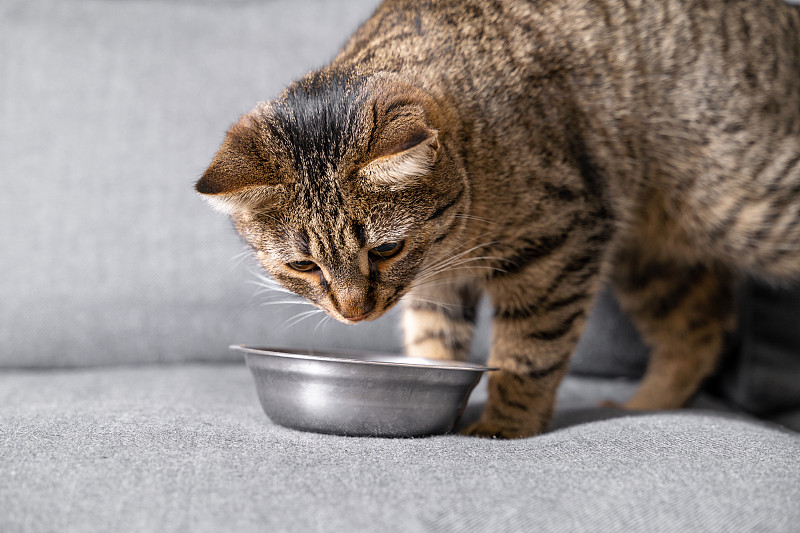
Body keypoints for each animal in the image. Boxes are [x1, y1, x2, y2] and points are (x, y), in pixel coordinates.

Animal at [194, 0, 800, 438]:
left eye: (385, 250)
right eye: (303, 267)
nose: (354, 313)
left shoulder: (559, 244)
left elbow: (527, 352)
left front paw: (504, 426)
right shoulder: (435, 286)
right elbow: (433, 340)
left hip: (749, 204)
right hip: (651, 255)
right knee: (700, 326)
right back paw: (645, 406)